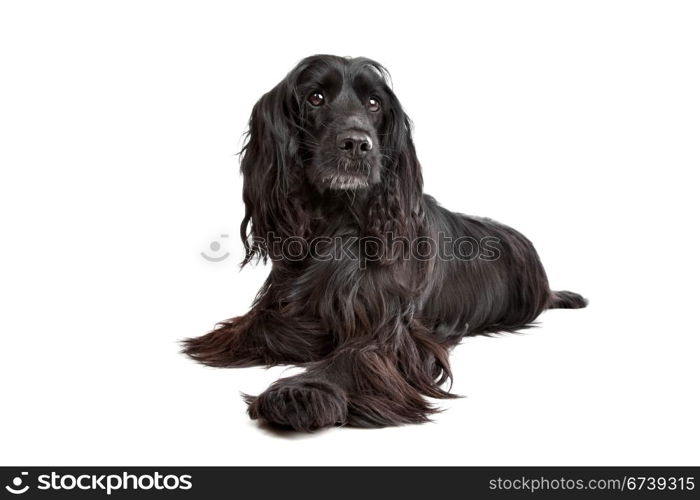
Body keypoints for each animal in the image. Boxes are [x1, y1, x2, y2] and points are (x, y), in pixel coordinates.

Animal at [182, 53, 584, 430]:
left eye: (374, 103)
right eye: (315, 97)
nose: (357, 144)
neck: (337, 223)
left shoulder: (389, 330)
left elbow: (353, 357)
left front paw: (301, 392)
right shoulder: (282, 305)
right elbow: (264, 325)